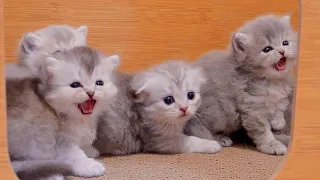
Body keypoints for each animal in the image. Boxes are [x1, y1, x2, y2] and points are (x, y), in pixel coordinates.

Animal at [7, 45, 120, 179]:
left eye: (99, 83)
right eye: (75, 85)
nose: (91, 92)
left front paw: (89, 149)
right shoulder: (61, 142)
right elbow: (75, 155)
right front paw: (89, 166)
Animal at [92, 60, 221, 156]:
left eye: (191, 95)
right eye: (168, 100)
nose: (184, 108)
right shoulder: (160, 140)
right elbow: (190, 141)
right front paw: (210, 144)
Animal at [185, 13, 298, 155]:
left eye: (285, 42)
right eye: (267, 49)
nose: (282, 51)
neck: (272, 81)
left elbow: (279, 105)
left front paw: (278, 120)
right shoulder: (252, 109)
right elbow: (263, 132)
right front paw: (272, 145)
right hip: (216, 111)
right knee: (199, 128)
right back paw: (219, 138)